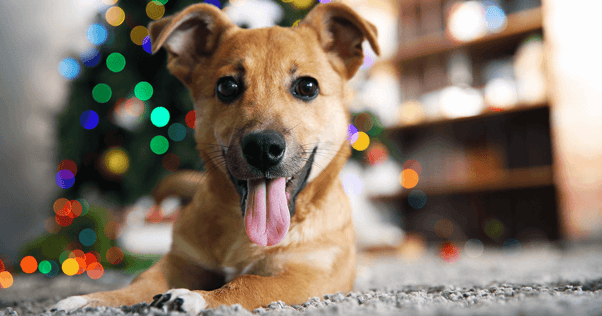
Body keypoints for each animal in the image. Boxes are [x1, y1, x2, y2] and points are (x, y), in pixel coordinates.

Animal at [52, 1, 380, 314]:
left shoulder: (309, 277)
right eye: (227, 86)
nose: (263, 147)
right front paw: (89, 300)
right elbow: (139, 283)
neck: (242, 233)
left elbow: (248, 283)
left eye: (307, 86)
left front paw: (195, 297)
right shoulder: (179, 262)